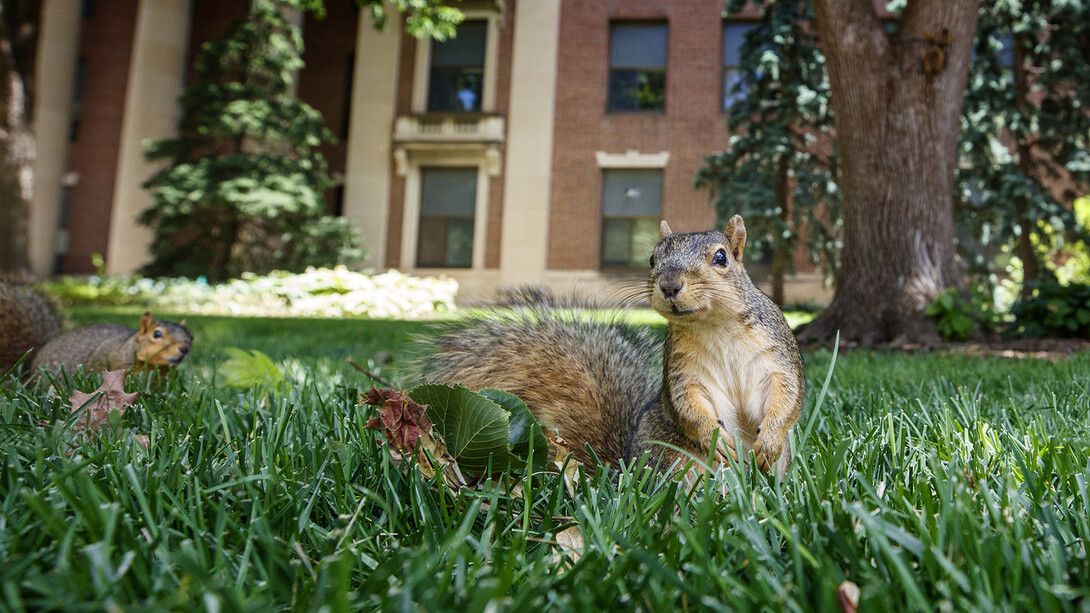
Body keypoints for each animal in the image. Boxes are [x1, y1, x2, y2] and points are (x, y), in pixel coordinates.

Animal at [416, 214, 810, 477]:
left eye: (721, 257)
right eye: (652, 259)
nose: (669, 284)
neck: (714, 326)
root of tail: (624, 472)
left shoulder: (777, 355)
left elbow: (788, 396)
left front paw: (768, 440)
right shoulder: (683, 372)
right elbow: (688, 408)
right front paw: (716, 438)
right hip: (676, 463)